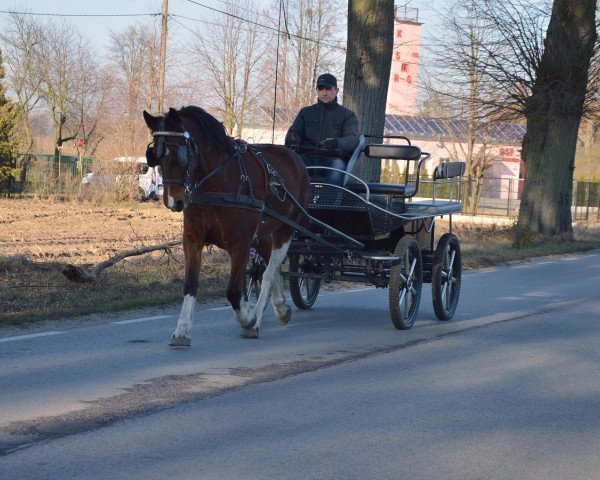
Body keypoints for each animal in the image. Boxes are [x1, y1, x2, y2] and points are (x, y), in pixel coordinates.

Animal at [142, 106, 308, 344]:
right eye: (155, 156)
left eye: (178, 153)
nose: (174, 202)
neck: (217, 183)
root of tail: (295, 157)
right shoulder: (192, 240)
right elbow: (190, 284)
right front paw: (182, 331)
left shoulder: (240, 244)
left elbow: (233, 292)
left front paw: (248, 317)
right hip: (262, 234)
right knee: (269, 263)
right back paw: (281, 308)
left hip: (286, 229)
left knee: (269, 271)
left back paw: (257, 321)